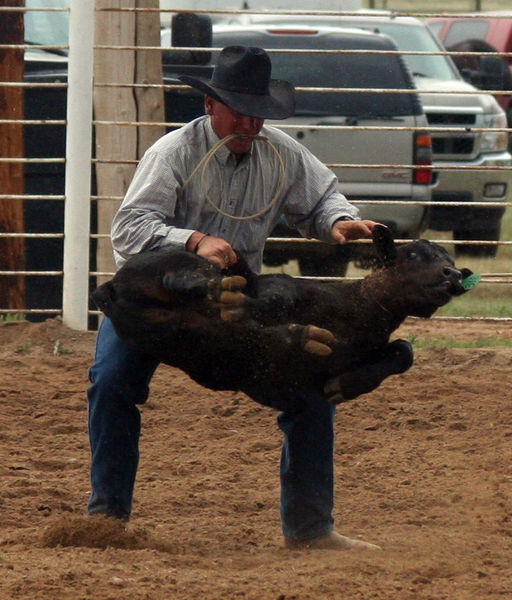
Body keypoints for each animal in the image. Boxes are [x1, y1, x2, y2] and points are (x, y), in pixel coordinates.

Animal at [92, 225, 472, 408]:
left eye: (448, 259)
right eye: (413, 255)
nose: (453, 275)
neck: (359, 308)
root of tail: (109, 286)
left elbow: (404, 350)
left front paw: (346, 386)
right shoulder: (281, 287)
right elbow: (273, 296)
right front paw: (240, 304)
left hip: (168, 332)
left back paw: (298, 336)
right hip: (165, 264)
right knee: (183, 276)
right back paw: (222, 290)